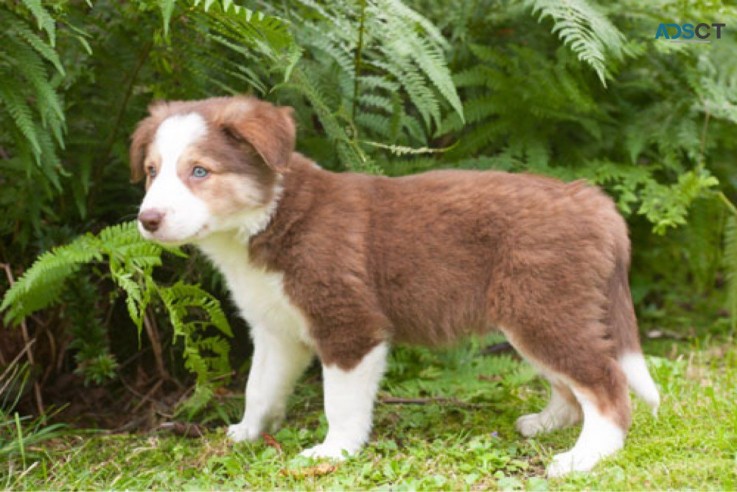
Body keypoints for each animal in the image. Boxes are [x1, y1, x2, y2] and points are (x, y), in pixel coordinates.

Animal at [129, 96, 660, 476]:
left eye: (200, 171)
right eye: (152, 172)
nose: (147, 220)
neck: (271, 217)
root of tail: (592, 200)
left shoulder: (350, 326)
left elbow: (340, 403)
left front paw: (333, 452)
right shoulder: (276, 330)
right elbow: (260, 388)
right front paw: (244, 433)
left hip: (542, 308)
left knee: (607, 382)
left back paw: (585, 457)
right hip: (538, 312)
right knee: (572, 384)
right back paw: (546, 423)